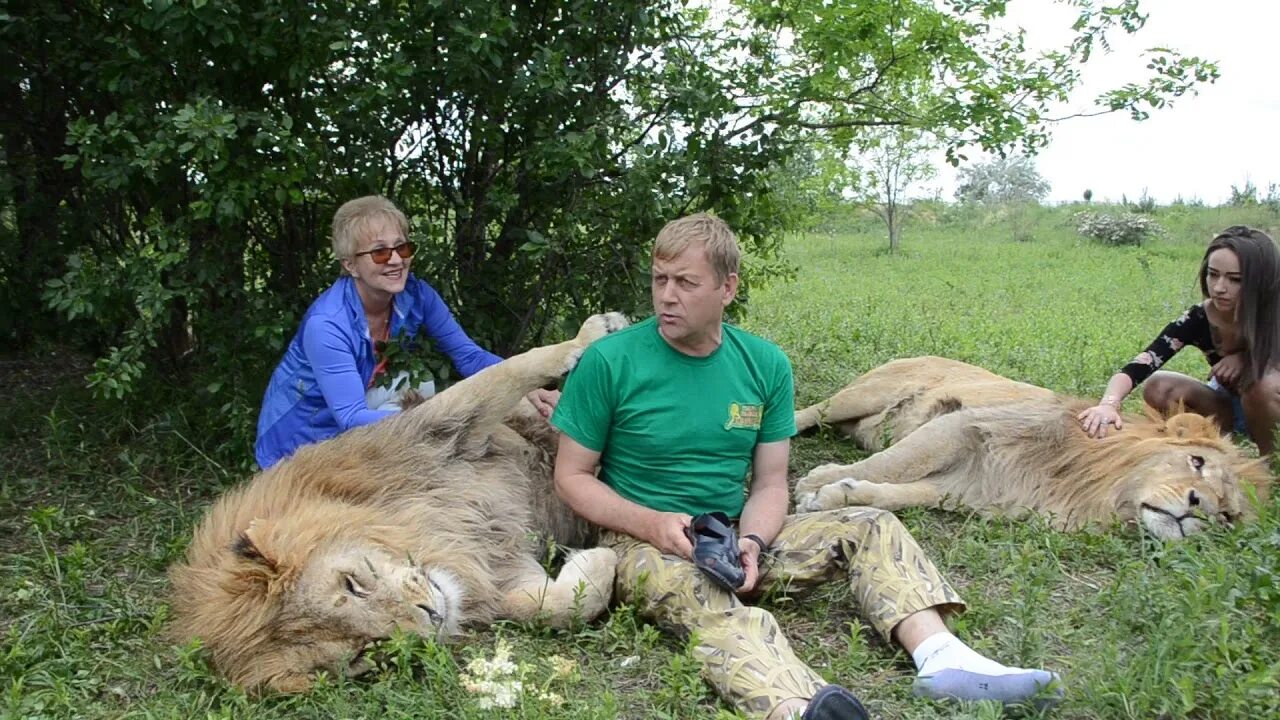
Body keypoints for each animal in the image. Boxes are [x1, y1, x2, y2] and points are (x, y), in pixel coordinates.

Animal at [793, 356, 1264, 535]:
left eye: (1226, 517)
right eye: (1196, 462)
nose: (1197, 508)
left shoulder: (970, 488)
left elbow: (894, 492)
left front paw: (839, 493)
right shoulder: (964, 425)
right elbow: (895, 463)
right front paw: (818, 483)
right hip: (857, 397)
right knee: (806, 413)